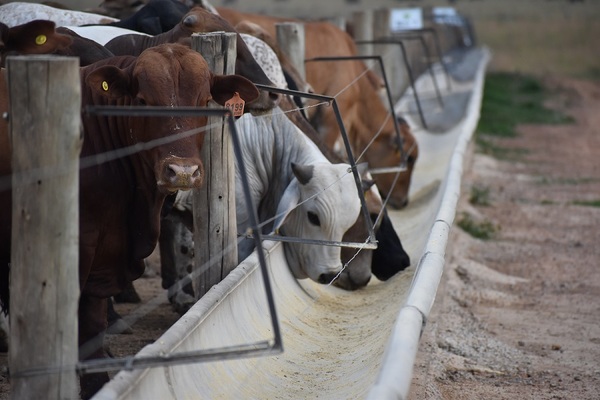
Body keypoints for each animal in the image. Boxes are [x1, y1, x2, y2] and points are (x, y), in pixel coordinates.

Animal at [0, 42, 258, 398]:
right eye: (143, 101)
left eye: (205, 101)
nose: (182, 171)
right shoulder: (77, 248)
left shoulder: (103, 254)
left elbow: (92, 325)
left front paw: (97, 382)